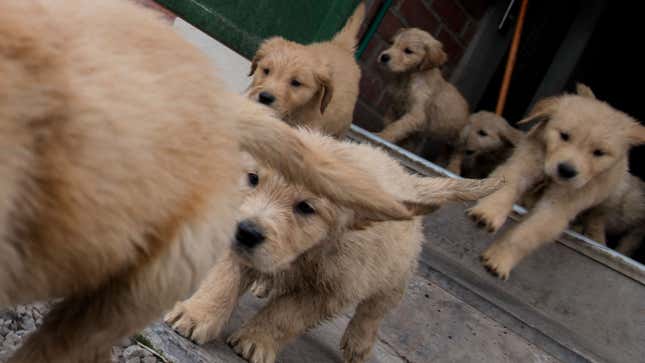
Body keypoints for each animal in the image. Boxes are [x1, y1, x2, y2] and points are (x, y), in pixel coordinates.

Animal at [164, 132, 500, 363]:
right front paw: (196, 315)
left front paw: (256, 340)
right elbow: (223, 282)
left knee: (374, 311)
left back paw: (358, 344)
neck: (307, 253)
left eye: (306, 207)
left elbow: (287, 314)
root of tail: (407, 179)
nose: (245, 232)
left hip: (395, 275)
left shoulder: (332, 290)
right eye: (254, 178)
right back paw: (263, 285)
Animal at [372, 27, 468, 164]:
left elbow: (397, 126)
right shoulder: (395, 106)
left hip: (461, 139)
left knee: (457, 155)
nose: (384, 57)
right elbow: (390, 122)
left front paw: (382, 136)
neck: (407, 77)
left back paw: (453, 167)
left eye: (408, 51)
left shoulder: (416, 114)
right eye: (392, 43)